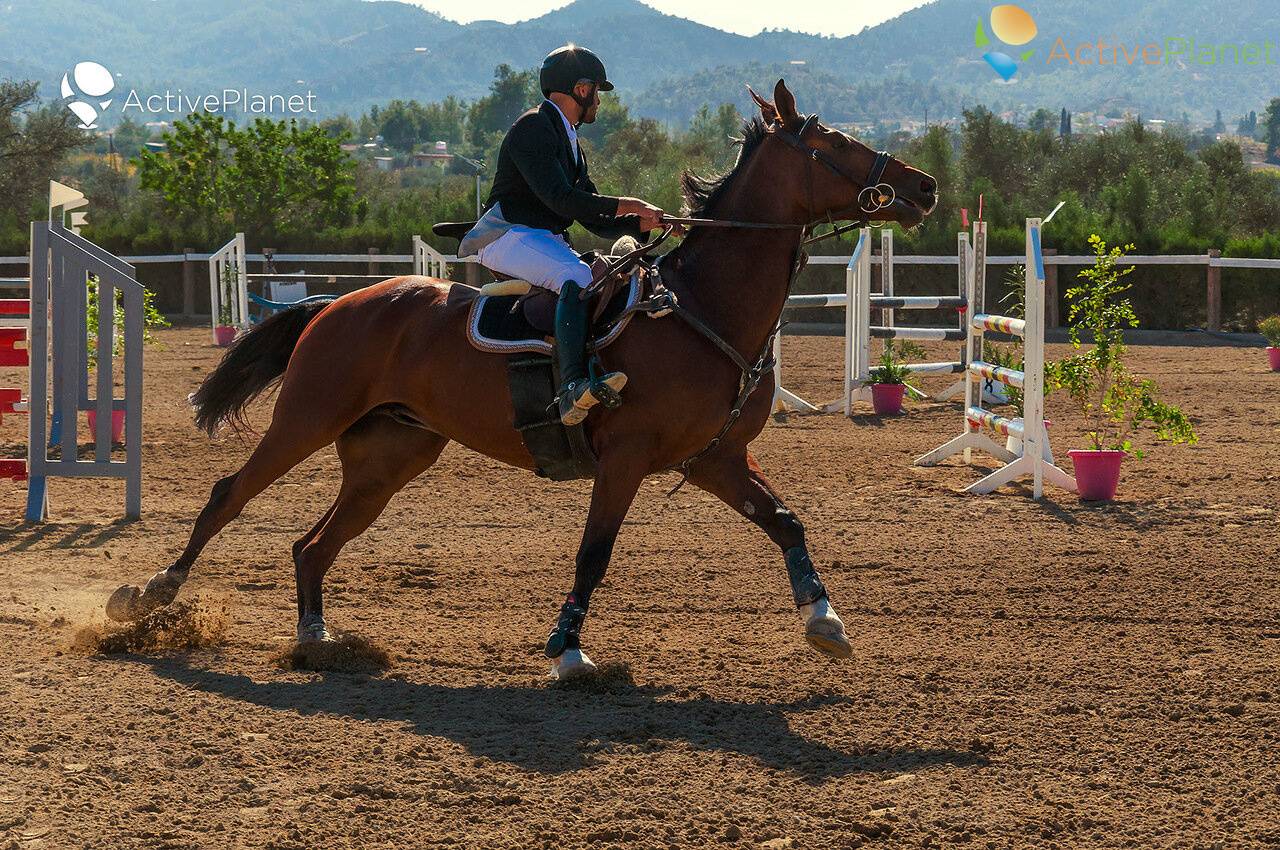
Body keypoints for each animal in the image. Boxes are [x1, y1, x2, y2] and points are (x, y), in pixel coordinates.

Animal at [104, 79, 936, 675]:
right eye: (837, 143)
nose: (924, 187)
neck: (705, 307)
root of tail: (339, 301)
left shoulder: (715, 459)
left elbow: (786, 521)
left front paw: (825, 621)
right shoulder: (628, 459)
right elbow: (594, 554)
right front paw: (568, 651)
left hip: (389, 456)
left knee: (314, 544)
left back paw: (316, 638)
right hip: (307, 418)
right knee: (229, 496)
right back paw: (150, 597)